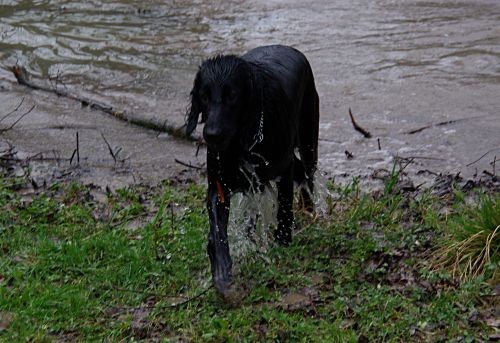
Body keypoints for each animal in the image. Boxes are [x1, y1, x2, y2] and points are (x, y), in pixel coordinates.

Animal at [185, 45, 320, 298]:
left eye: (232, 95)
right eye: (204, 96)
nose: (212, 135)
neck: (240, 142)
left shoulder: (282, 169)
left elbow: (284, 210)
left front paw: (282, 242)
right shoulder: (218, 187)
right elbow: (217, 233)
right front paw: (222, 273)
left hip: (308, 141)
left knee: (309, 176)